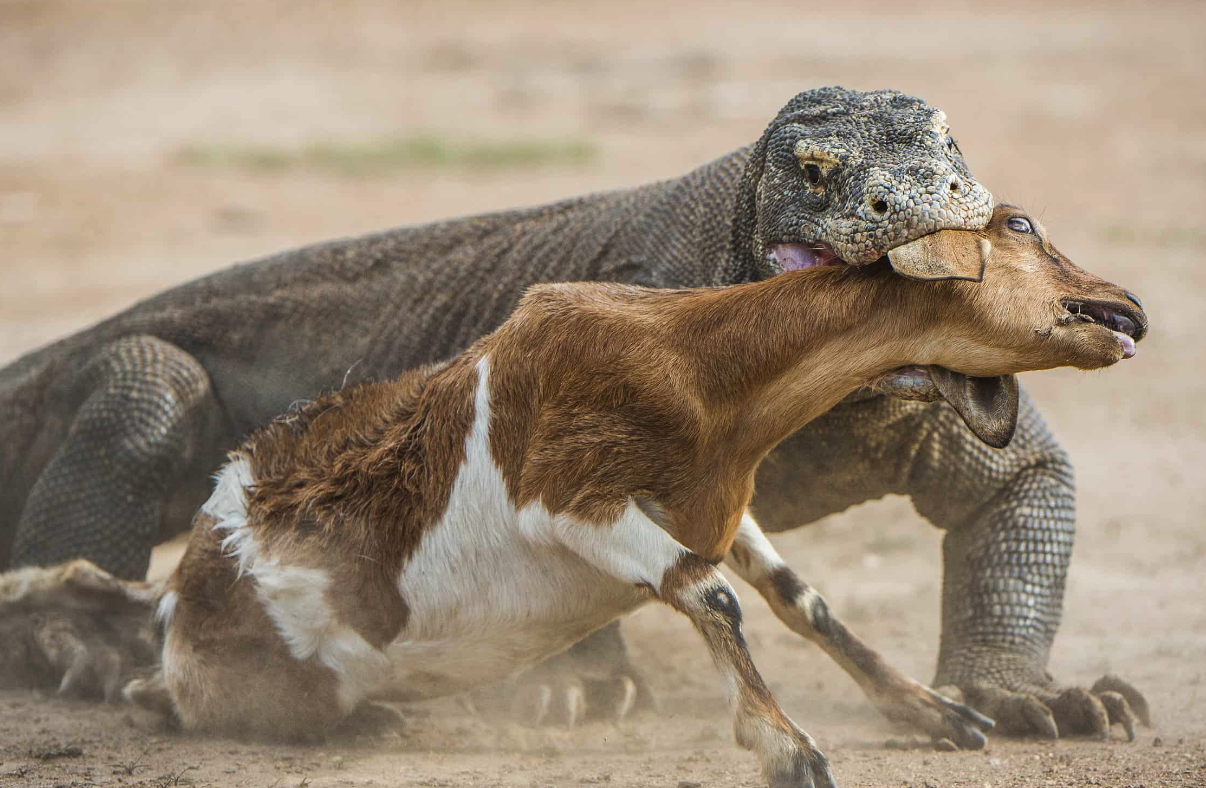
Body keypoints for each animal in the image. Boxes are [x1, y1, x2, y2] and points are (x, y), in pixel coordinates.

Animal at [124, 203, 1148, 786]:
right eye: (1021, 228)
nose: (1128, 308)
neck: (693, 364)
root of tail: (184, 596)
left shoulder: (724, 507)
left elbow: (800, 599)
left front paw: (937, 714)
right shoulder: (570, 500)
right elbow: (710, 593)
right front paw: (791, 750)